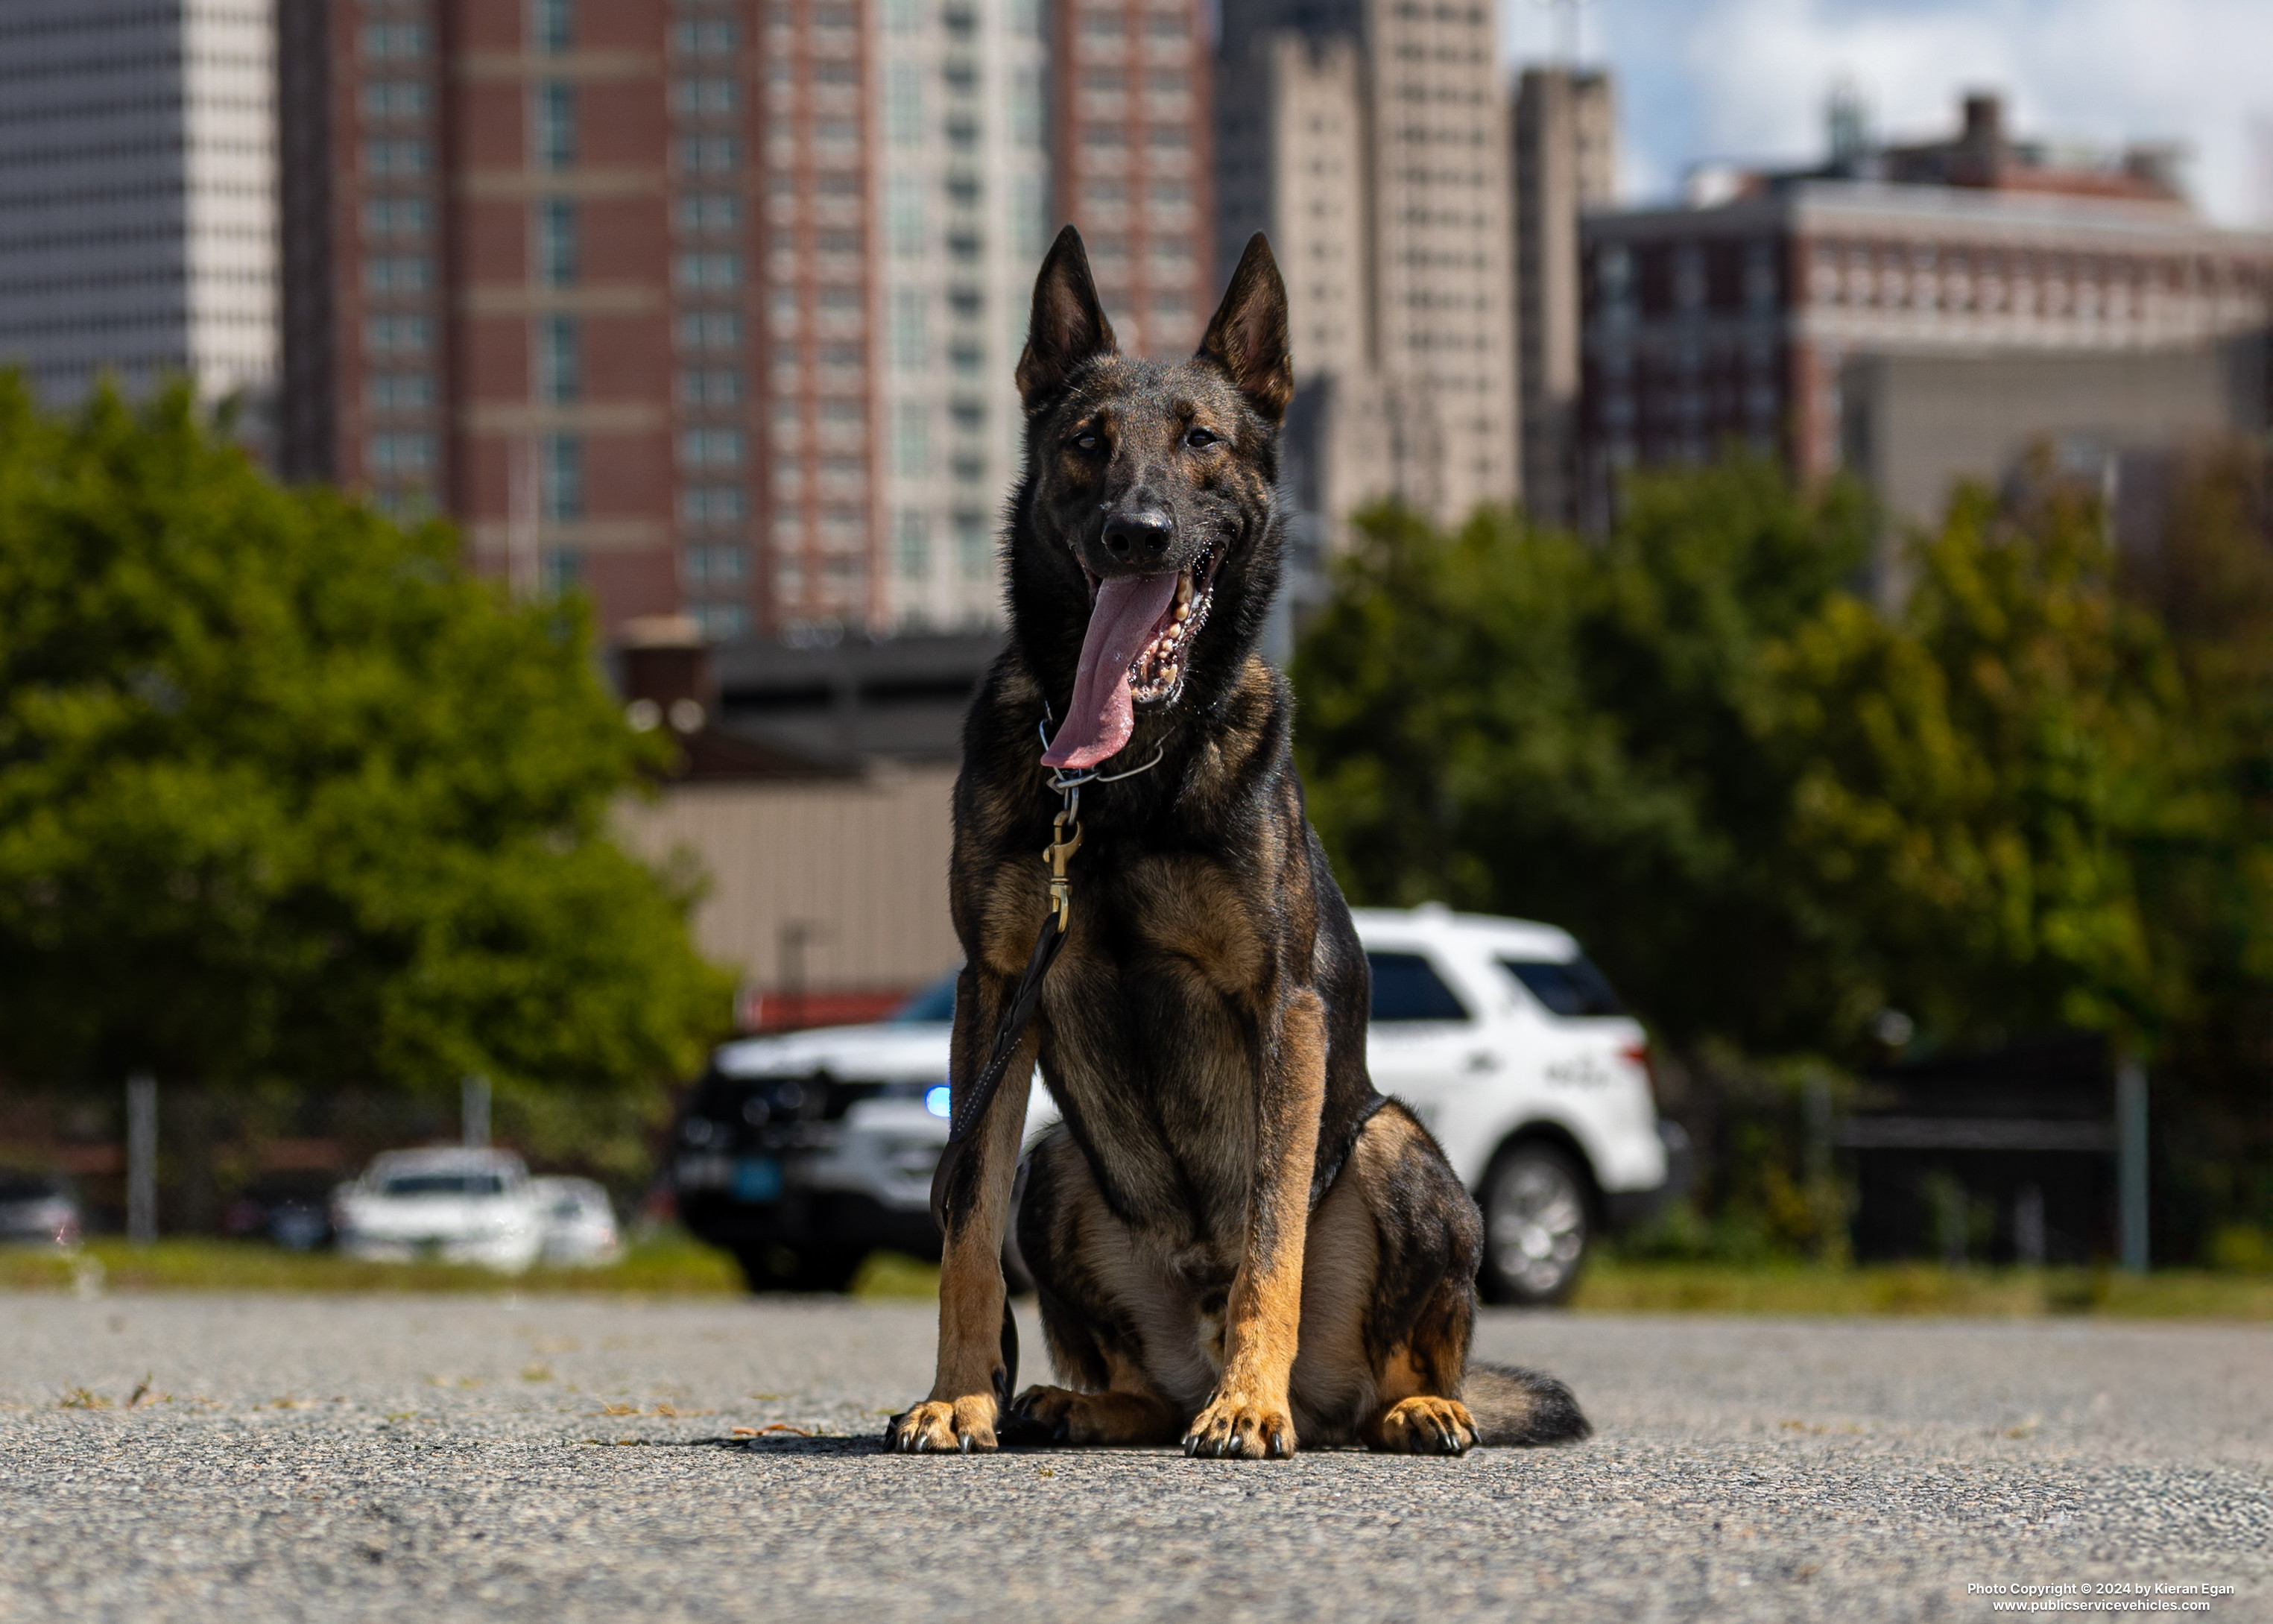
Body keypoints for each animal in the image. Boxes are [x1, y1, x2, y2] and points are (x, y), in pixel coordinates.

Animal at [877, 224, 1591, 1456]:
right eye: (1086, 442)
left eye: (1200, 441)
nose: (1136, 531)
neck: (1118, 781)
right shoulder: (995, 989)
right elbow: (963, 1221)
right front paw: (959, 1392)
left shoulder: (1279, 1005)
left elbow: (1270, 1229)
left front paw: (1250, 1402)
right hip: (1057, 1164)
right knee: (1138, 1375)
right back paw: (1081, 1398)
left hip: (1399, 1146)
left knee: (1400, 1353)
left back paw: (1402, 1402)